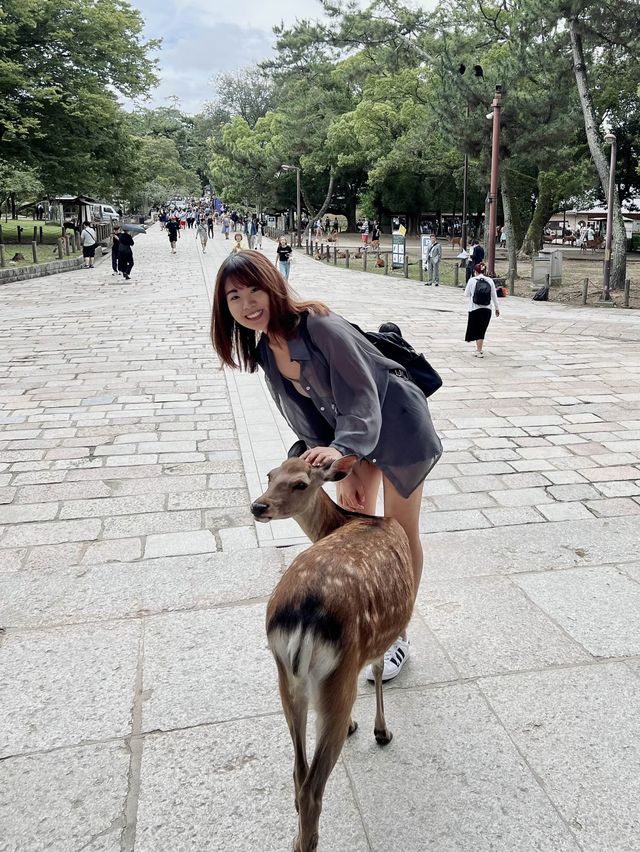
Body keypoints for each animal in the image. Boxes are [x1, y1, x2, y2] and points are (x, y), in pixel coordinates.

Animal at [251, 452, 416, 852]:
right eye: (271, 475)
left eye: (298, 482)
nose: (258, 505)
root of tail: (303, 617)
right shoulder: (374, 640)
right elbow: (376, 670)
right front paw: (379, 731)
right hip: (338, 673)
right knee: (312, 788)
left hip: (286, 680)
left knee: (298, 773)